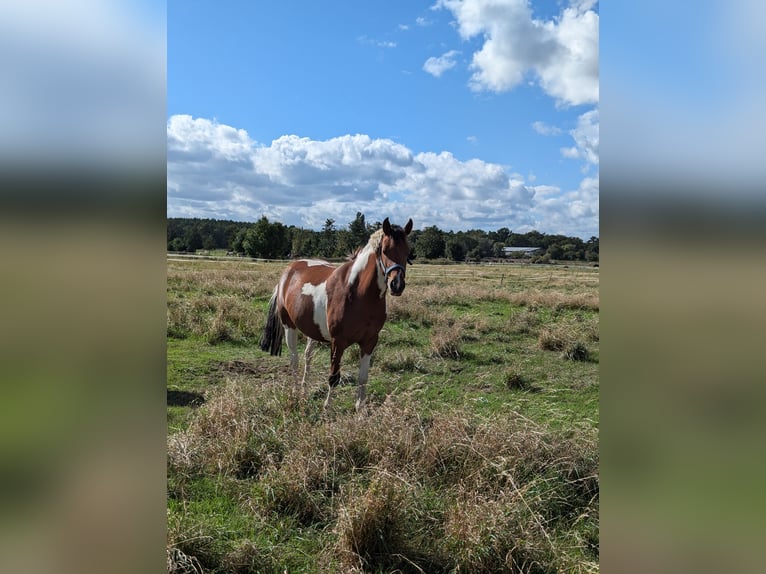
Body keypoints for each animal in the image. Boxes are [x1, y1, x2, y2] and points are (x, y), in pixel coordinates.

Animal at [260, 218, 414, 412]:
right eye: (385, 250)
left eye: (407, 252)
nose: (397, 285)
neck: (357, 292)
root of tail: (289, 271)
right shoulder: (337, 342)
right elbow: (334, 377)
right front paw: (327, 408)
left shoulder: (370, 341)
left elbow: (363, 377)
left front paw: (360, 409)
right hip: (290, 326)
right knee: (294, 359)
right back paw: (295, 394)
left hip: (313, 331)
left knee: (307, 357)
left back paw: (303, 391)